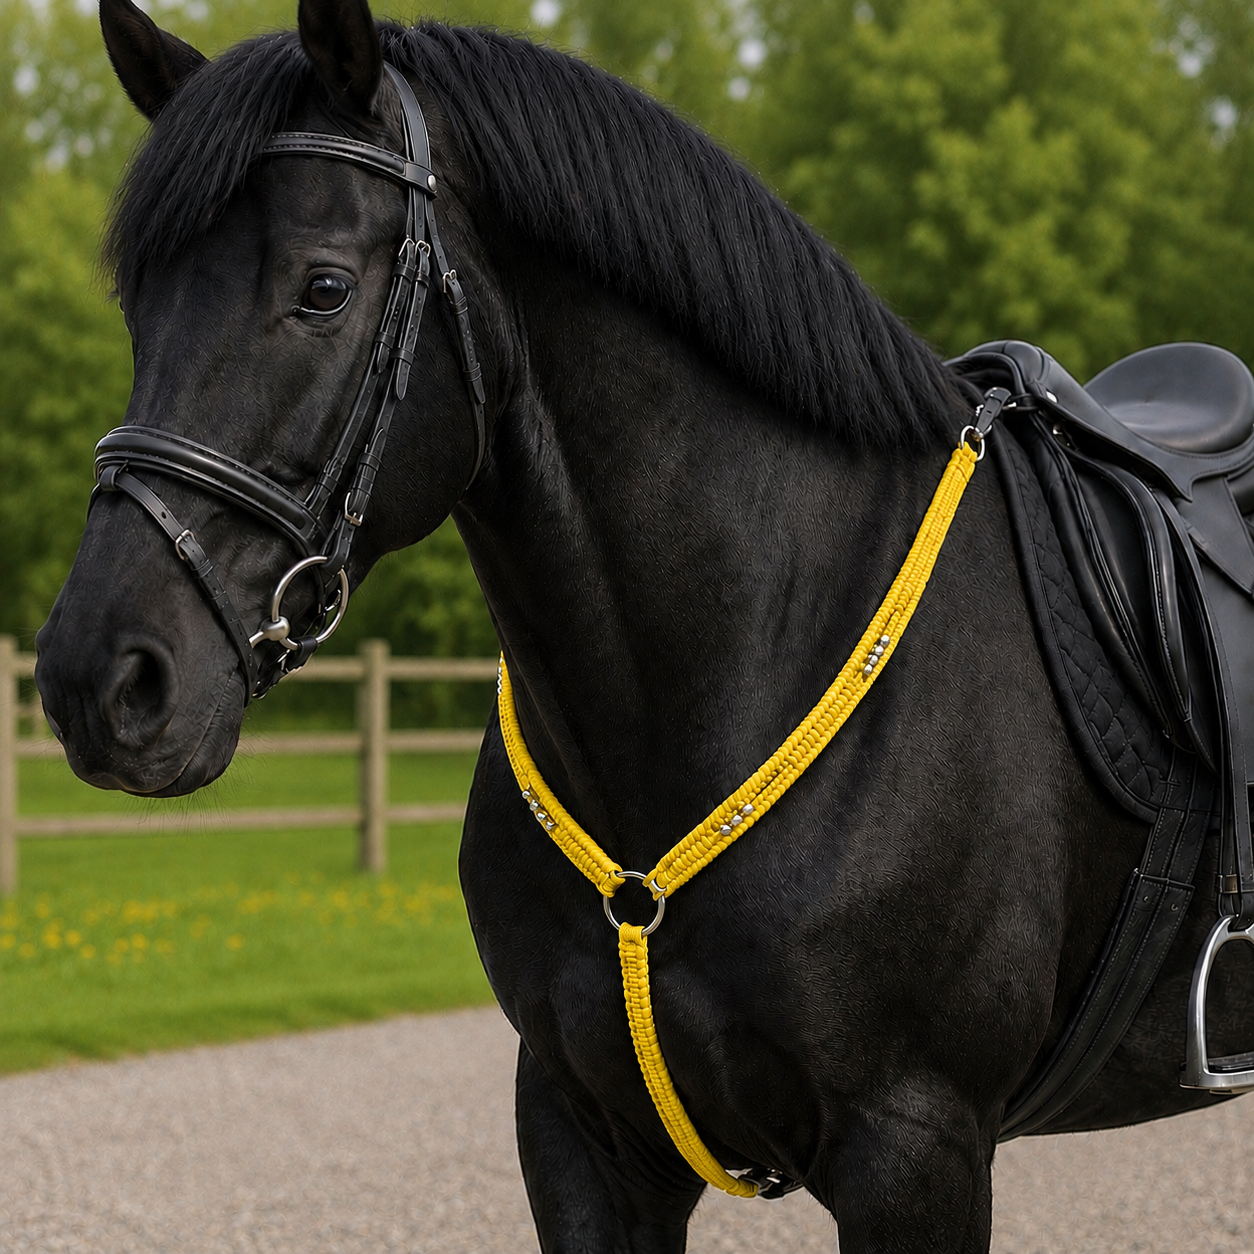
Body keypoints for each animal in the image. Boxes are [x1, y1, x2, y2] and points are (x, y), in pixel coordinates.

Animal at [34, 0, 1254, 1248]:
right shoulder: (584, 1133)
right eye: (138, 303)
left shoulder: (918, 1151)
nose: (102, 680)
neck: (756, 642)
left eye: (322, 288)